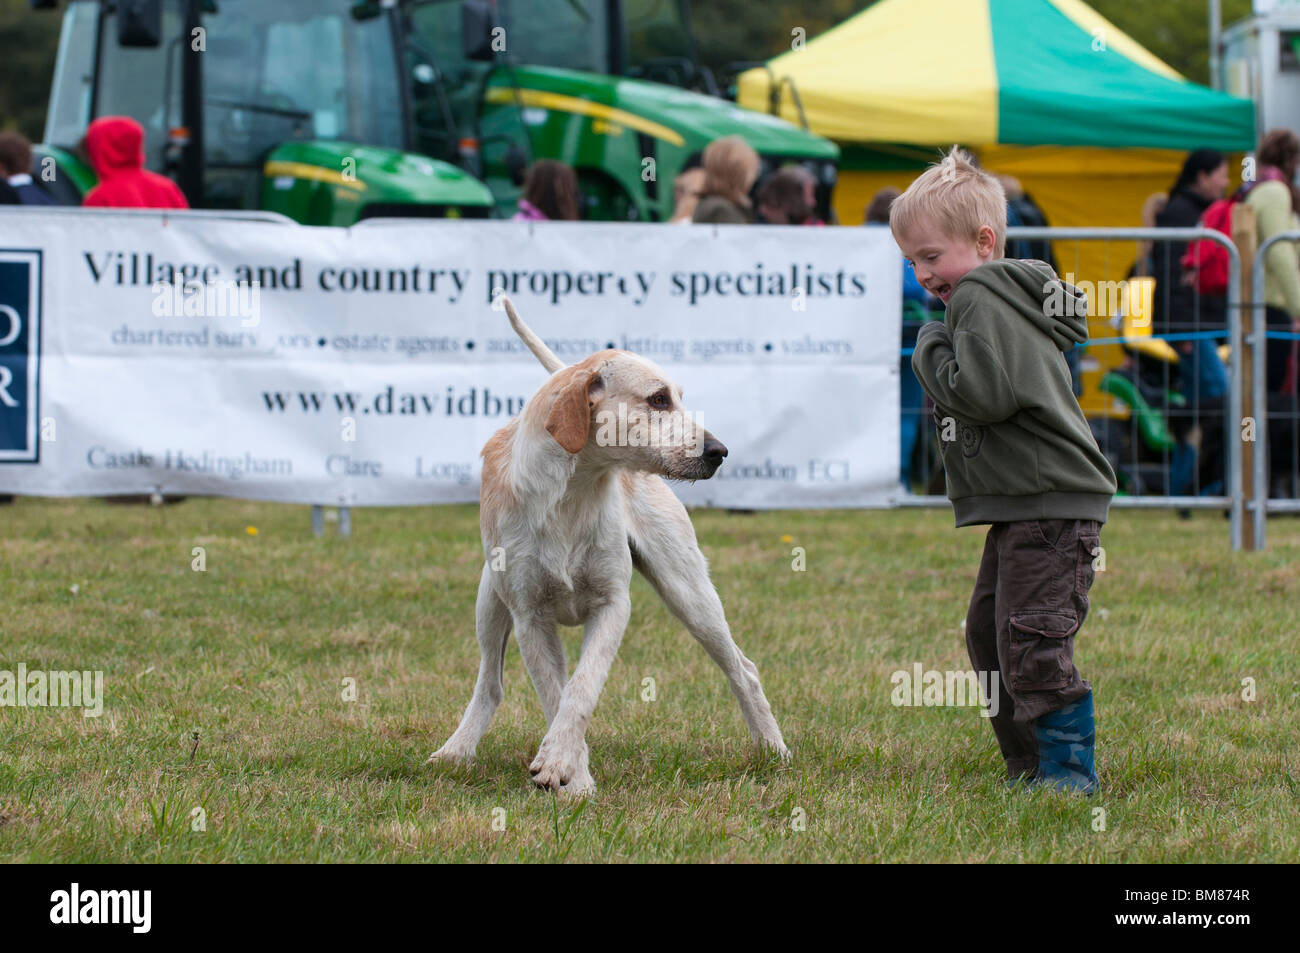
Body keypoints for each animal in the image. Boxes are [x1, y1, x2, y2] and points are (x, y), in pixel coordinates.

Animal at [431, 299, 785, 795]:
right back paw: (457, 750)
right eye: (658, 399)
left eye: (678, 396)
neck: (571, 496)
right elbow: (556, 695)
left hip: (691, 595)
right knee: (490, 685)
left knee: (743, 670)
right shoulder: (530, 619)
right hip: (489, 601)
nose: (719, 451)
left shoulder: (613, 606)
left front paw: (562, 767)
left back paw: (774, 750)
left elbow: (580, 691)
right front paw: (573, 778)